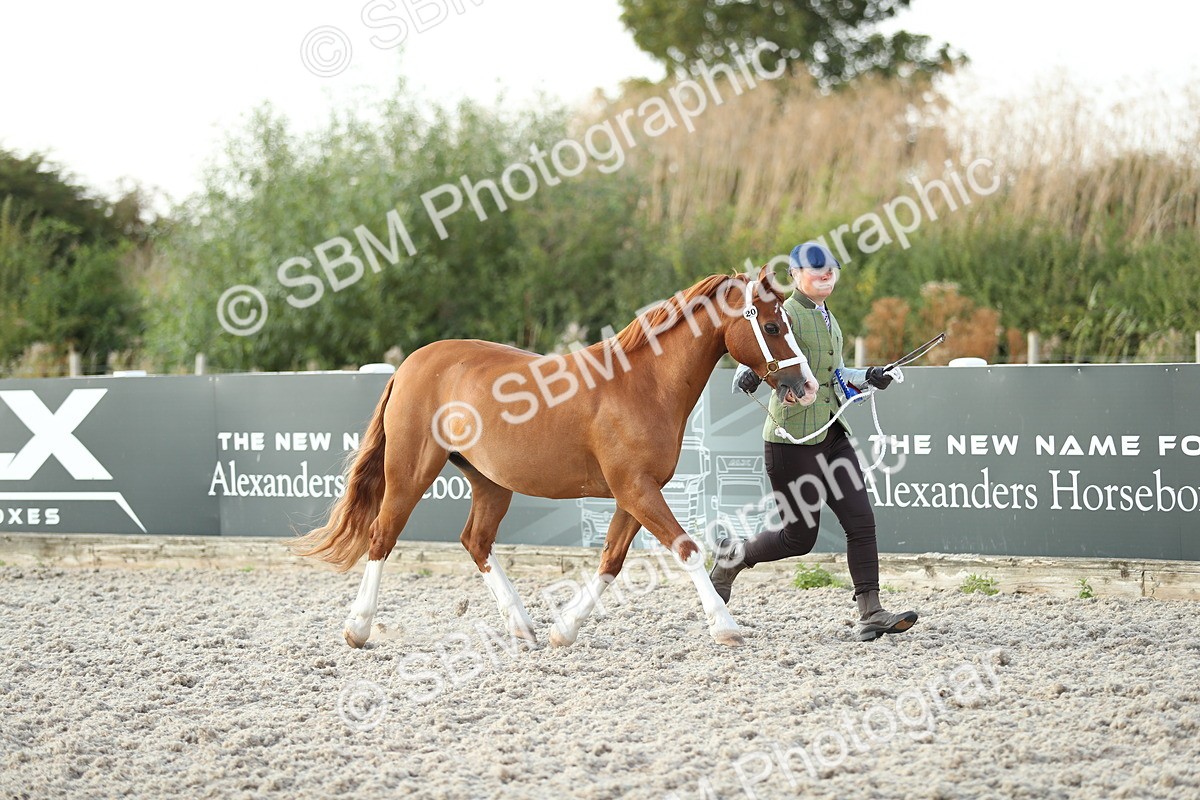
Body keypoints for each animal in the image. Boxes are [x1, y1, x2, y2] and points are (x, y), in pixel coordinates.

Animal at [291, 265, 819, 649]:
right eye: (772, 325)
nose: (808, 386)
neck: (642, 385)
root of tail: (410, 365)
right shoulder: (636, 489)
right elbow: (686, 549)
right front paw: (725, 627)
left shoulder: (633, 494)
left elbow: (611, 561)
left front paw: (563, 631)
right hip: (410, 472)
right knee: (382, 535)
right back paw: (357, 629)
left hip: (490, 482)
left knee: (476, 541)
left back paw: (522, 627)